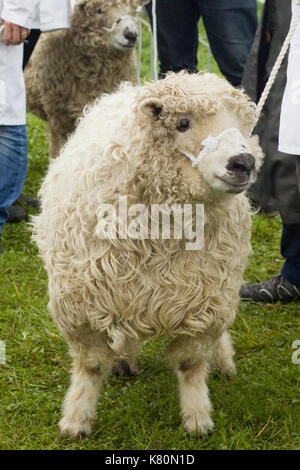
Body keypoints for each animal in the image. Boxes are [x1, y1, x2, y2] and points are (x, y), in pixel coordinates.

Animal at [31, 72, 264, 436]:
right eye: (182, 123)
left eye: (243, 125)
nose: (244, 163)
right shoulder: (79, 307)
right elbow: (90, 366)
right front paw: (76, 419)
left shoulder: (203, 302)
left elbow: (190, 365)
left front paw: (197, 417)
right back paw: (125, 358)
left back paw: (222, 360)